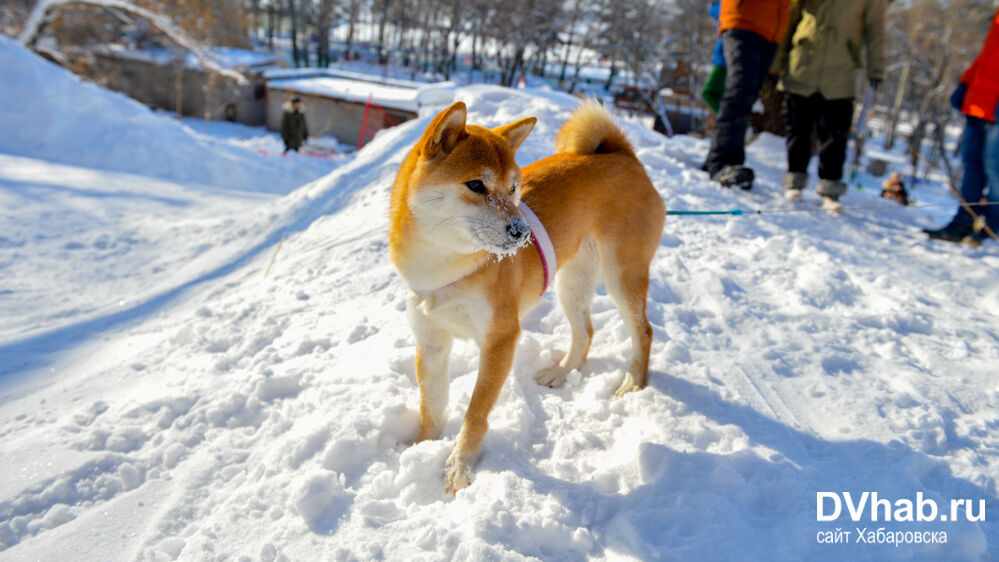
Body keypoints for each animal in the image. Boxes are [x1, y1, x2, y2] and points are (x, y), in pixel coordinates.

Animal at [388, 97, 664, 490]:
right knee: (586, 331)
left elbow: (476, 410)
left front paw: (460, 464)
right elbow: (433, 407)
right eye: (476, 184)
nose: (522, 233)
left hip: (622, 276)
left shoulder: (500, 339)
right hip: (572, 282)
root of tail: (624, 157)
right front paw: (423, 447)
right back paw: (562, 372)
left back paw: (633, 384)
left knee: (643, 331)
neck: (446, 266)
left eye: (514, 189)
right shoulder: (431, 343)